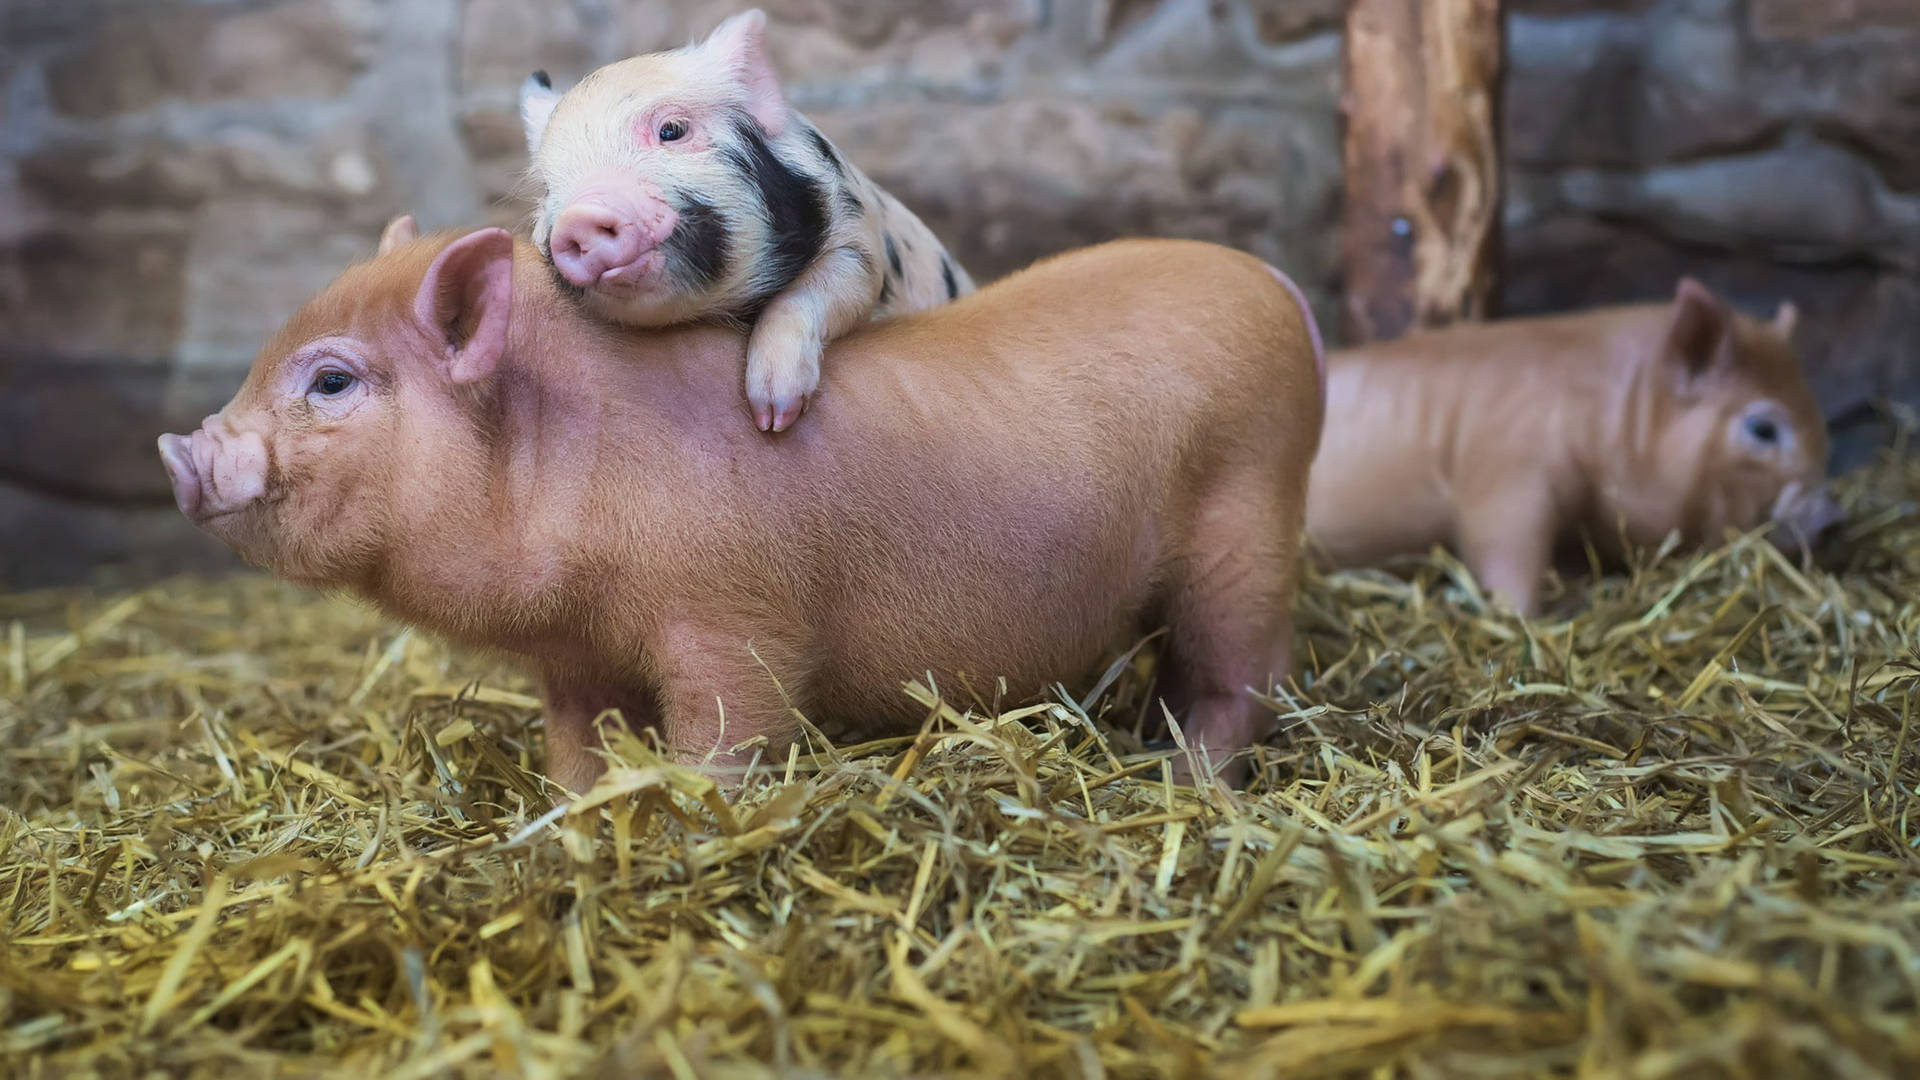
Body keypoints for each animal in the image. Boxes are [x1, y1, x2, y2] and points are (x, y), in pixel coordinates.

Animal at [157, 222, 1328, 787]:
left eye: (331, 380)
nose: (181, 449)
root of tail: (1277, 288)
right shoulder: (574, 658)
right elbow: (577, 748)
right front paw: (578, 814)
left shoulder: (734, 620)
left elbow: (730, 734)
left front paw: (692, 812)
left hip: (1249, 523)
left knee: (1244, 677)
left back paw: (1186, 780)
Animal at [518, 9, 975, 428]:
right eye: (547, 189)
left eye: (673, 130)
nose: (580, 216)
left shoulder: (860, 239)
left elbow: (823, 289)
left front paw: (773, 418)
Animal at [1313, 276, 1835, 614]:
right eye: (1763, 428)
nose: (1835, 517)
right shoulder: (1505, 475)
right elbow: (1505, 553)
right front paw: (1529, 617)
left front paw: (1574, 595)